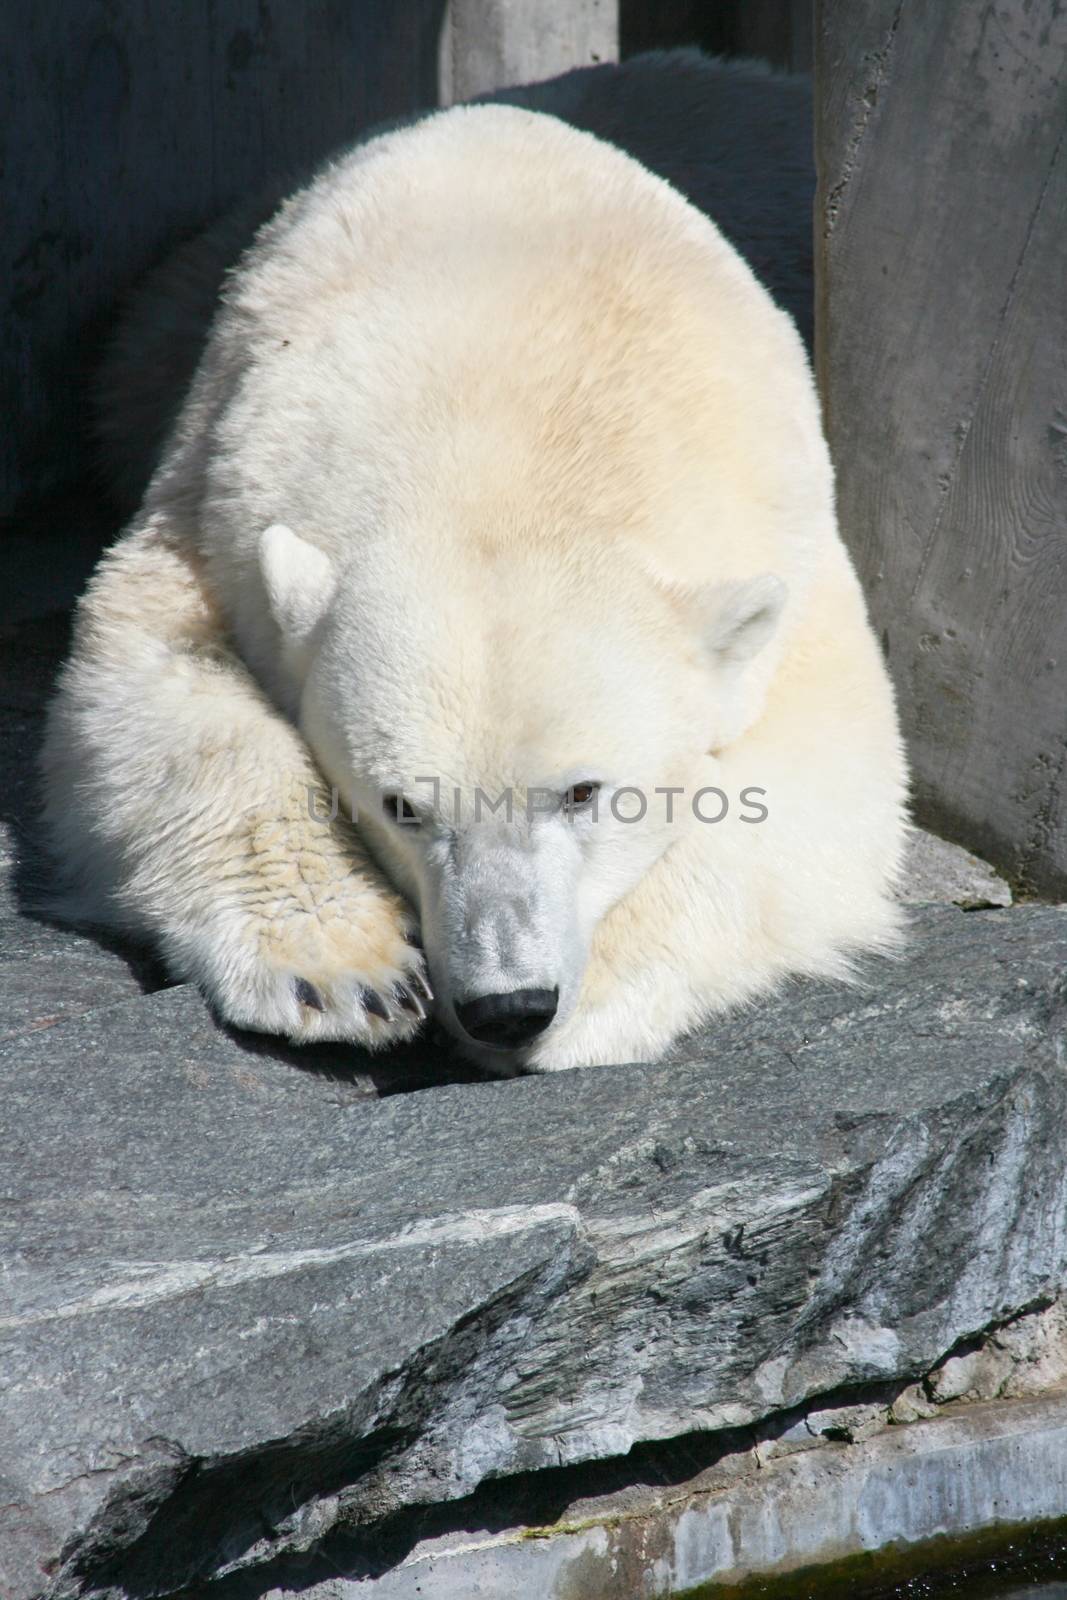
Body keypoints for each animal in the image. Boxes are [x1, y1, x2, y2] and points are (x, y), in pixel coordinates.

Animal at [43, 103, 908, 1075]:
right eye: (402, 805)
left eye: (584, 792)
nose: (509, 1005)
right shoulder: (213, 498)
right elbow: (159, 684)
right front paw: (346, 971)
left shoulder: (791, 554)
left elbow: (824, 773)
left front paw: (600, 986)